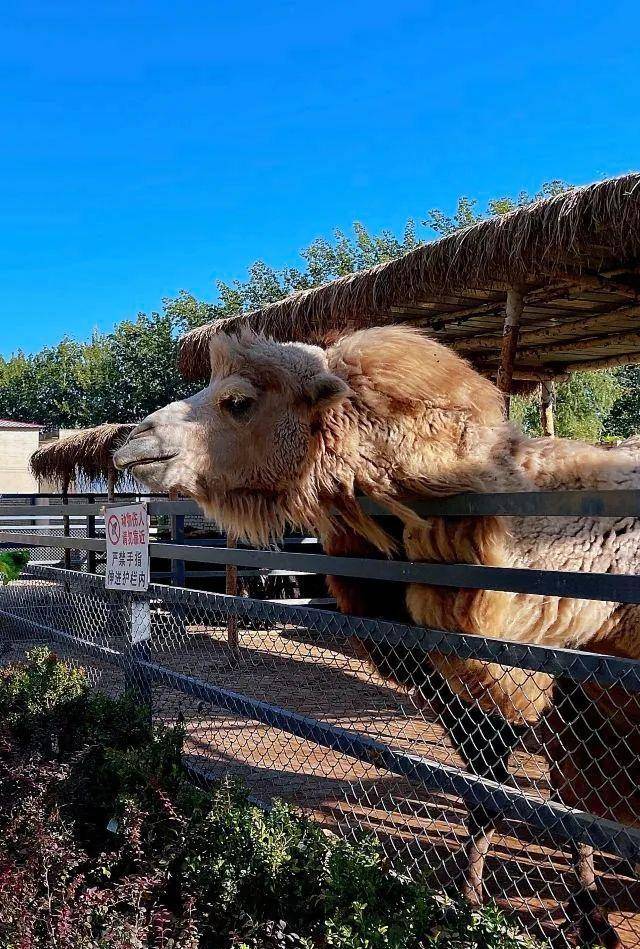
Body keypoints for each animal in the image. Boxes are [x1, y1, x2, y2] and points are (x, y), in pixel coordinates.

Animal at [115, 324, 640, 940]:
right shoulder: (494, 694)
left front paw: (582, 911)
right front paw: (476, 901)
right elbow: (501, 796)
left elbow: (557, 804)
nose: (132, 443)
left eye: (238, 401)